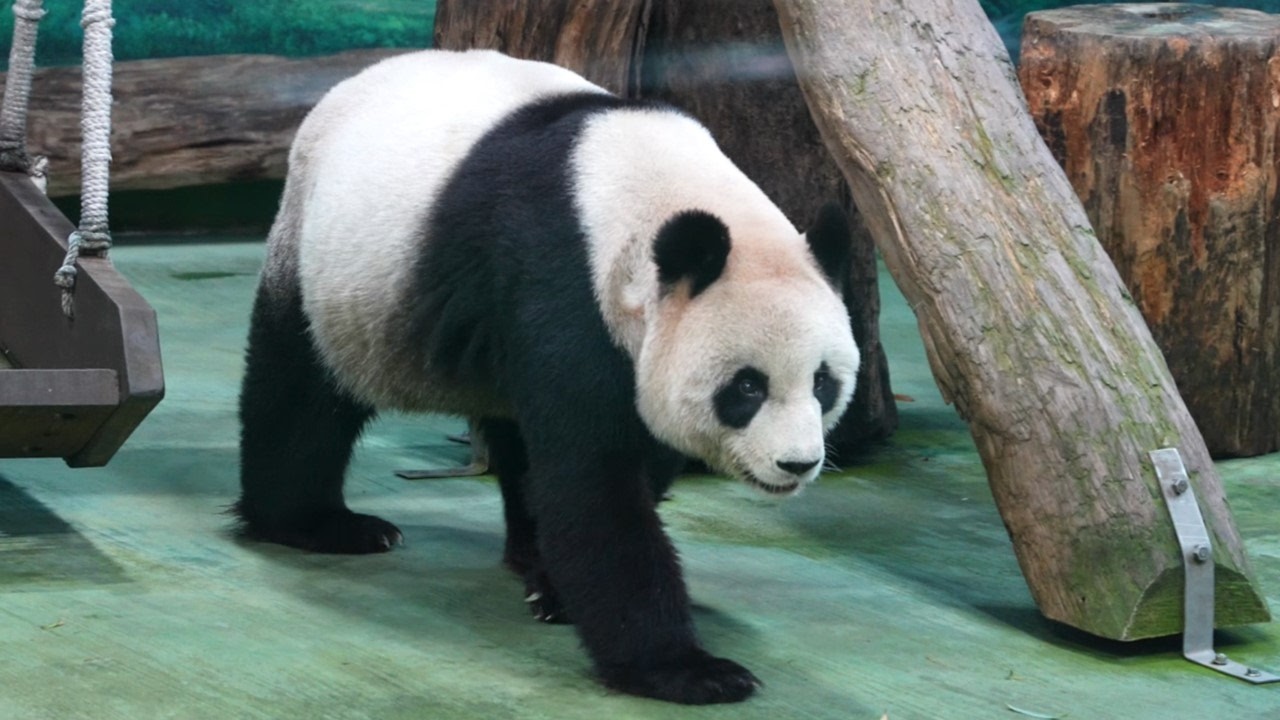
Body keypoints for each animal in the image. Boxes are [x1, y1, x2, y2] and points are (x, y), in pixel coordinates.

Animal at [236, 49, 860, 705]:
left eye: (823, 383)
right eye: (746, 387)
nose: (797, 464)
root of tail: (351, 83)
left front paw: (558, 589)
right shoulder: (562, 281)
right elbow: (593, 483)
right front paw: (689, 670)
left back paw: (524, 554)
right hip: (328, 267)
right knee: (302, 392)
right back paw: (319, 524)